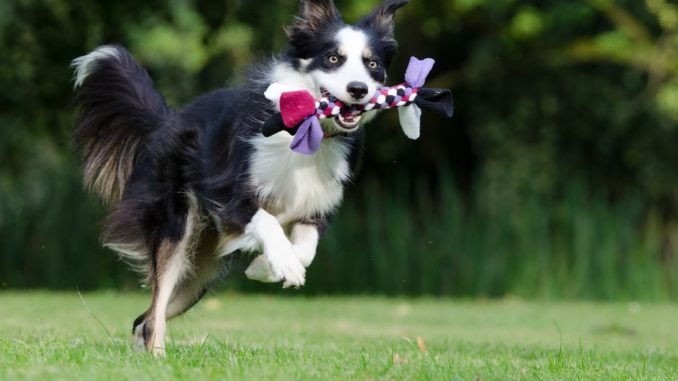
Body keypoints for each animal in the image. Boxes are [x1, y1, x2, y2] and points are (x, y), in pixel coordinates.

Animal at [70, 0, 410, 354]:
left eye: (372, 63)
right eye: (333, 58)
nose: (358, 90)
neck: (307, 130)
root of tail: (168, 120)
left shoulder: (316, 208)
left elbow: (306, 250)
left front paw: (266, 267)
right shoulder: (229, 197)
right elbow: (267, 221)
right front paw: (282, 264)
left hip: (200, 271)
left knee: (145, 318)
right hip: (177, 228)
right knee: (155, 311)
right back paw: (157, 357)